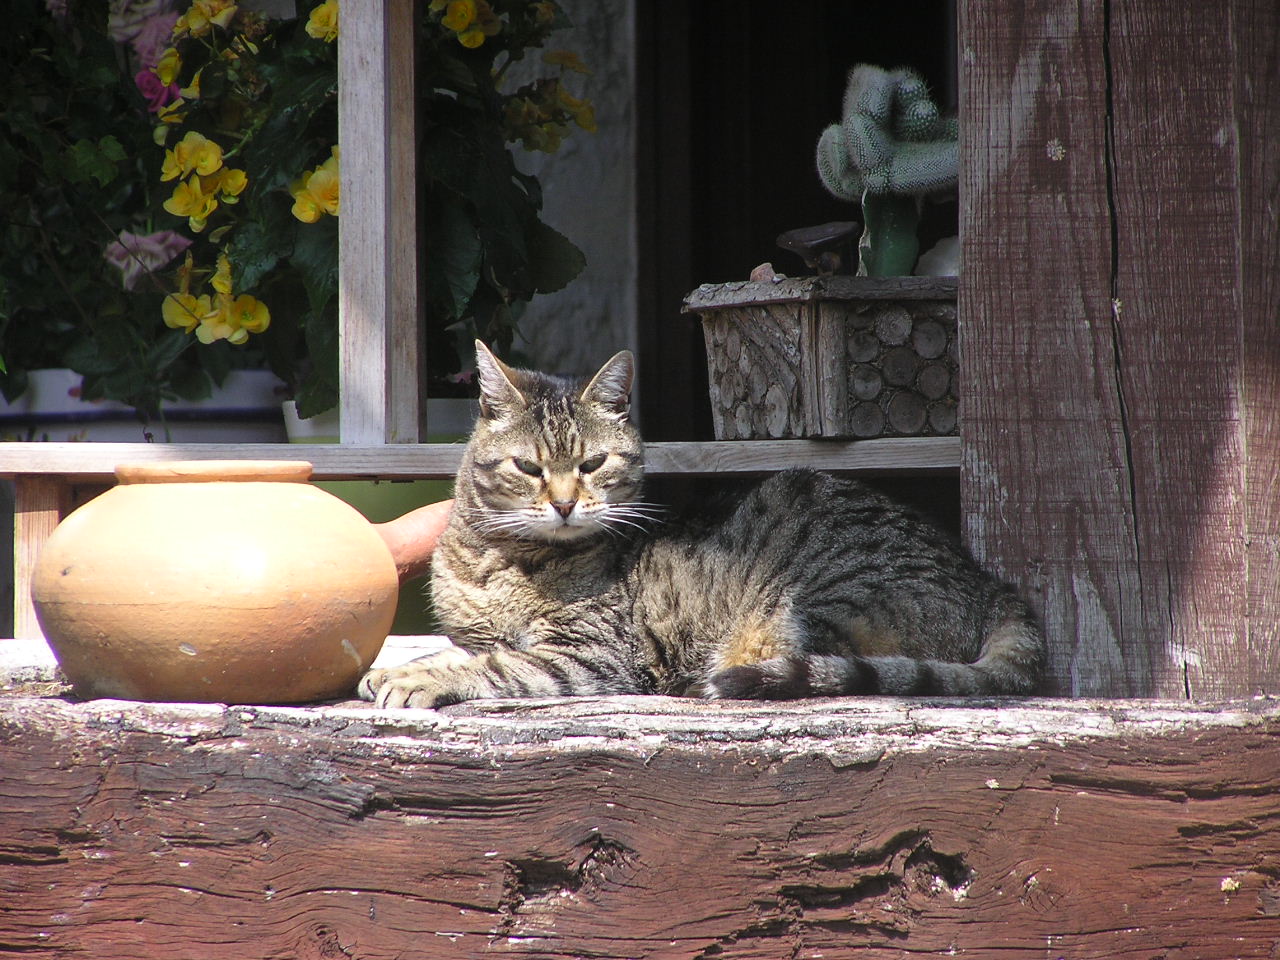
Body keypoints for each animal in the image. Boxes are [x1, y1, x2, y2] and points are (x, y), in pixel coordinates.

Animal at [355, 343, 1044, 706]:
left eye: (592, 463)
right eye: (528, 467)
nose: (564, 503)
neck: (497, 561)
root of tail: (988, 583)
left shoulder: (590, 654)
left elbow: (494, 665)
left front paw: (413, 677)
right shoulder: (479, 631)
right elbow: (466, 648)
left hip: (800, 609)